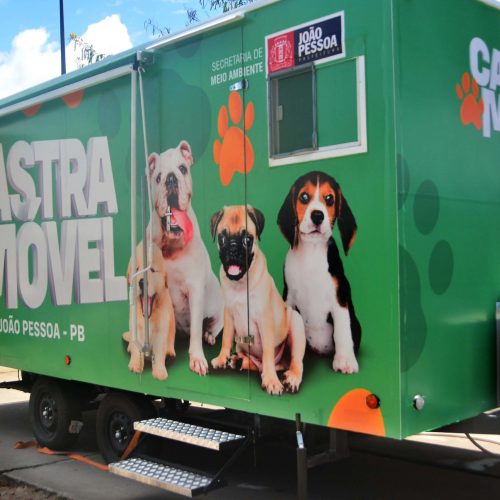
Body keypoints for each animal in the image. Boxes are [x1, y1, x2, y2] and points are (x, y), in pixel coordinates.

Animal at [123, 241, 176, 381]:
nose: (142, 282)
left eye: (152, 270)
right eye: (136, 269)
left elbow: (159, 351)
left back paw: (170, 351)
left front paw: (159, 371)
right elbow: (136, 348)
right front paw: (135, 364)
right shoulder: (136, 327)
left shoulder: (162, 329)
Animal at [147, 140, 224, 376]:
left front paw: (197, 358)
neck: (171, 245)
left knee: (210, 328)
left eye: (182, 168)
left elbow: (198, 330)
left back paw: (208, 336)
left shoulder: (195, 289)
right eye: (158, 177)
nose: (171, 178)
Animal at [210, 205, 306, 395]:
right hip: (242, 345)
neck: (240, 283)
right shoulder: (229, 315)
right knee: (254, 362)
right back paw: (237, 361)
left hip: (296, 324)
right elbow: (225, 339)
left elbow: (267, 351)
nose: (233, 248)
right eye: (222, 239)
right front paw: (222, 358)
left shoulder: (264, 320)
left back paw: (290, 377)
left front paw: (271, 380)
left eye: (247, 239)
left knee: (295, 361)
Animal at [277, 171, 361, 374]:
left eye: (329, 199)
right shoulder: (289, 296)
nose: (317, 215)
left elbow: (342, 330)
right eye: (304, 197)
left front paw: (345, 360)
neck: (312, 252)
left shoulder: (340, 297)